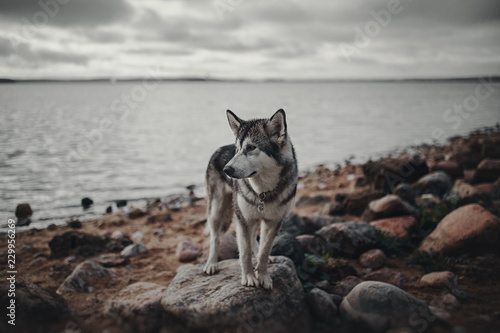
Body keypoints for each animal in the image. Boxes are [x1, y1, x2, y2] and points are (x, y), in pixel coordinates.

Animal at [203, 108, 296, 288]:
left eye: (251, 147)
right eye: (237, 149)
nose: (226, 170)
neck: (263, 192)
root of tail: (219, 149)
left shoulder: (273, 222)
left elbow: (264, 251)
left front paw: (263, 275)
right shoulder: (243, 219)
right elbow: (244, 252)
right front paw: (248, 277)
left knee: (253, 238)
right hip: (217, 210)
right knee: (215, 237)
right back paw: (211, 264)